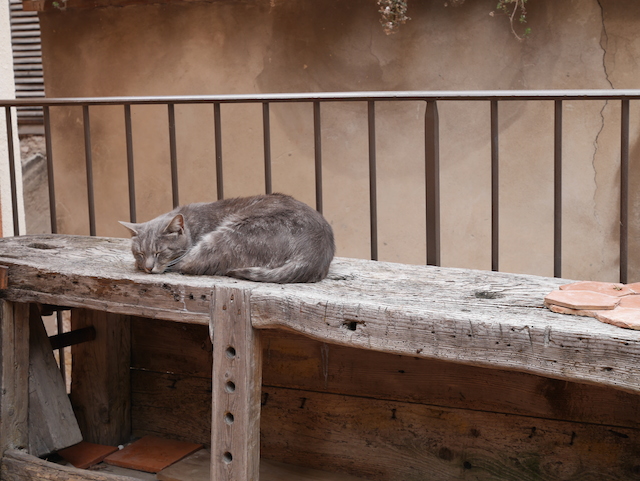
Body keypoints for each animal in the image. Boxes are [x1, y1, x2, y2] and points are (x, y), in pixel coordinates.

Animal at [118, 192, 336, 282]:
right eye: (139, 253)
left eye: (160, 252)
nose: (147, 267)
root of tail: (315, 254)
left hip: (228, 236)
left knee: (193, 264)